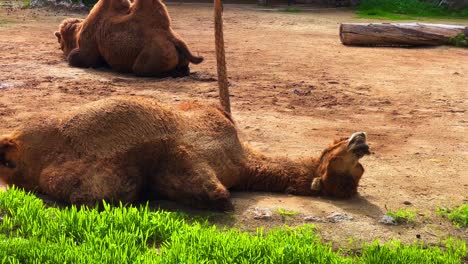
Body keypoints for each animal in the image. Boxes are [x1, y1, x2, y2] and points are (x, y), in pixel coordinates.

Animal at [53, 0, 203, 77]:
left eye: (61, 43)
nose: (60, 48)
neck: (77, 33)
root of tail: (174, 40)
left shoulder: (88, 51)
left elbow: (73, 58)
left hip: (152, 55)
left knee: (141, 70)